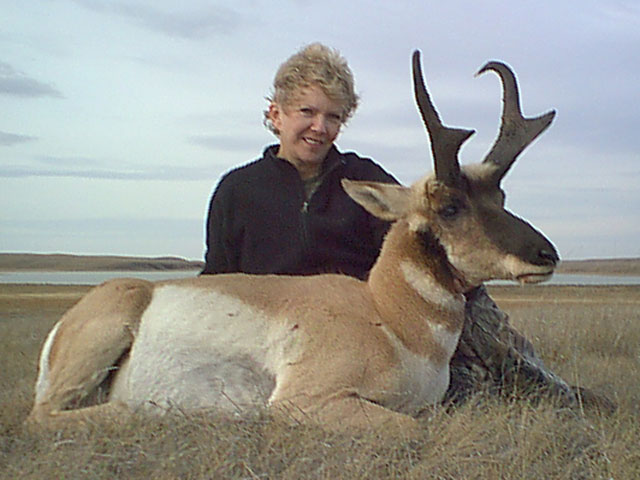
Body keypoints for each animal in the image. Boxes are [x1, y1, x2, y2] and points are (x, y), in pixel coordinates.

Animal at [27, 50, 556, 434]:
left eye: (500, 196)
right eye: (450, 206)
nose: (546, 254)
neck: (389, 316)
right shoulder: (308, 401)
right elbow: (413, 429)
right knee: (50, 417)